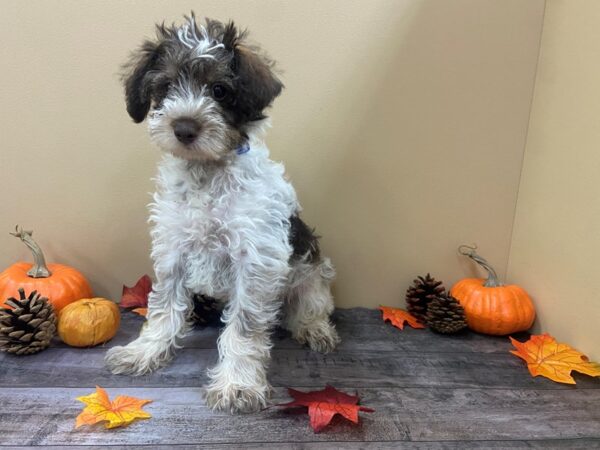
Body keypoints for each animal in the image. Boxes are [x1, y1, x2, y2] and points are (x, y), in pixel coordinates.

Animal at [105, 14, 340, 414]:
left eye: (219, 90)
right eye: (166, 86)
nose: (184, 128)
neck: (207, 175)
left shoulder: (255, 262)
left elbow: (243, 330)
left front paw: (238, 385)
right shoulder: (173, 252)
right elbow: (162, 309)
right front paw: (143, 352)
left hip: (313, 273)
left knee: (311, 307)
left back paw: (315, 329)